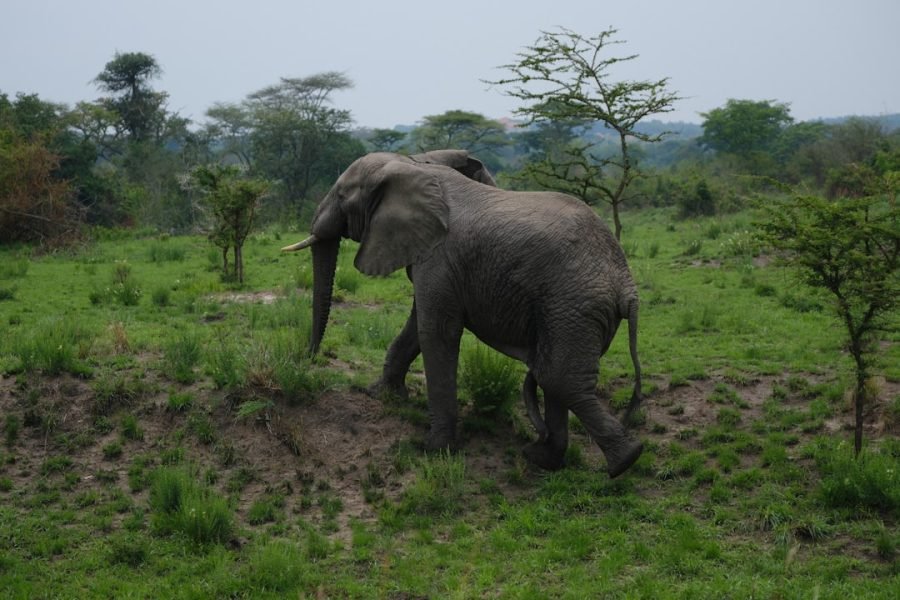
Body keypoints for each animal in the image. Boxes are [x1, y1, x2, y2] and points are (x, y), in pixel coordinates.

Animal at [282, 150, 644, 477]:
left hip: (573, 305)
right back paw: (542, 458)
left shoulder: (440, 255)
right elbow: (417, 326)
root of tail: (627, 287)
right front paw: (381, 395)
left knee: (559, 379)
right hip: (568, 312)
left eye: (342, 195)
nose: (308, 359)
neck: (412, 163)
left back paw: (625, 461)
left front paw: (434, 449)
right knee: (553, 376)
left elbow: (436, 332)